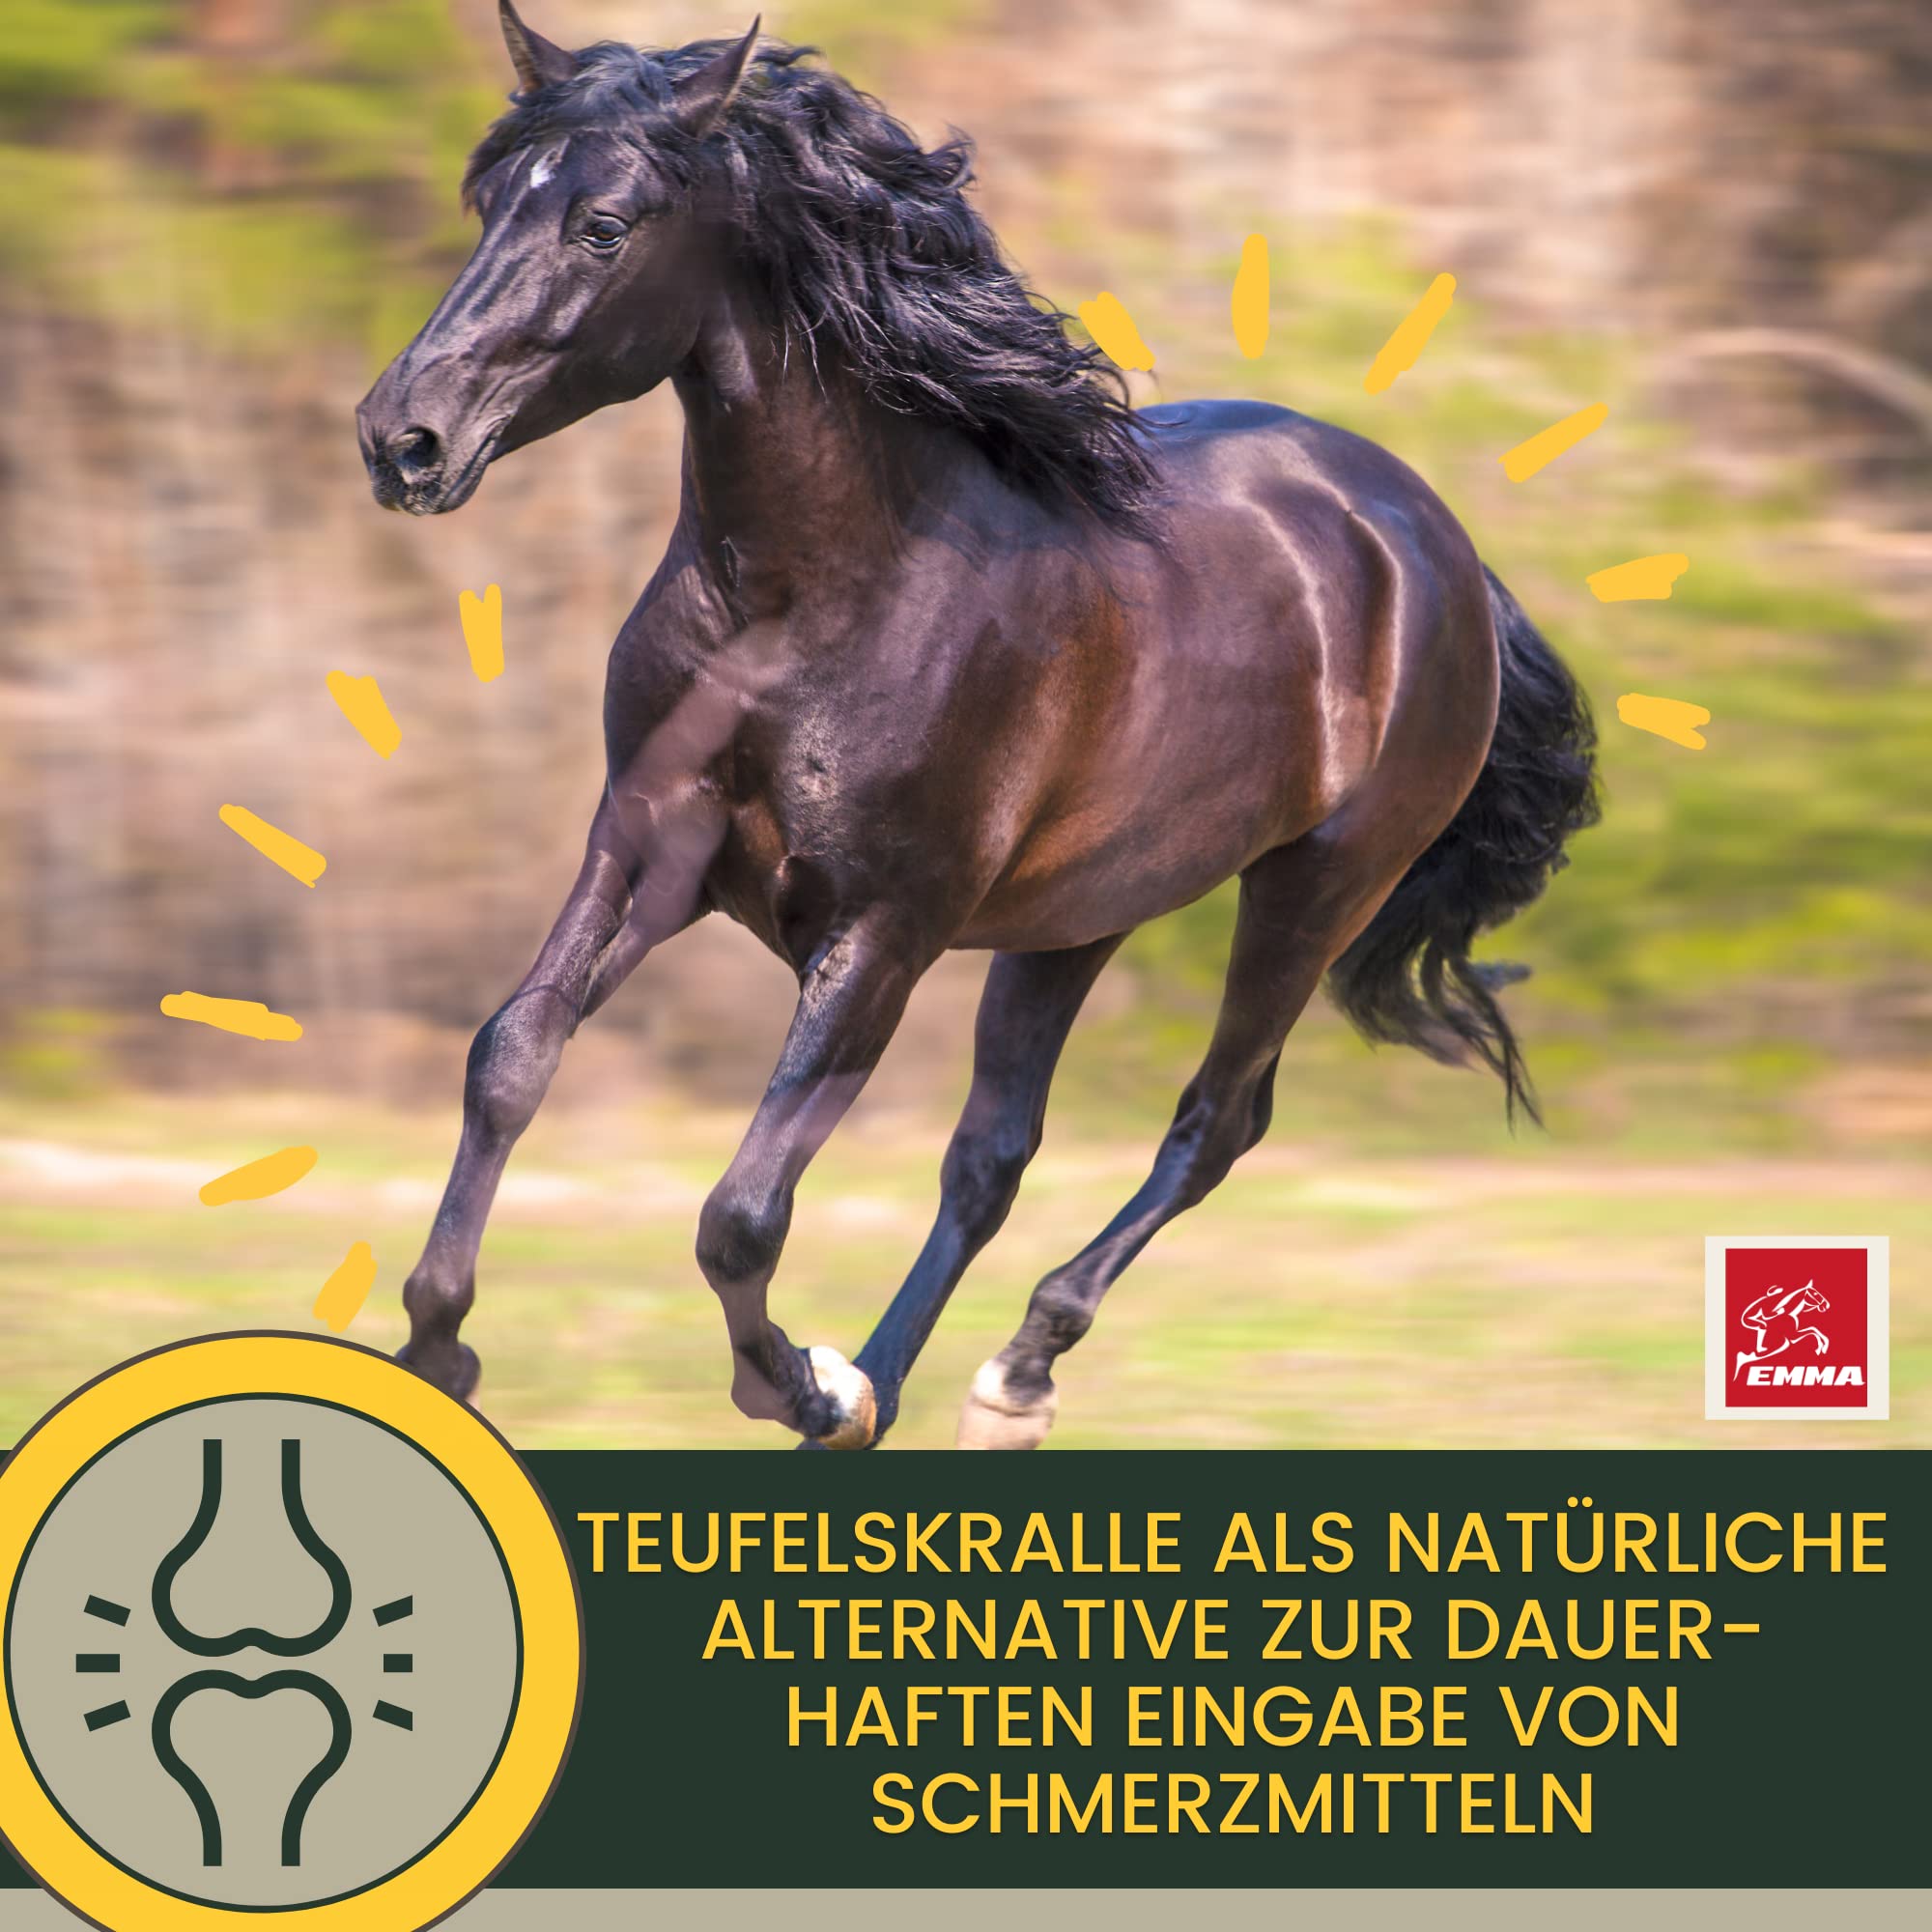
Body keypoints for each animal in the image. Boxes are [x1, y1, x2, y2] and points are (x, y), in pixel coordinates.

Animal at [354, 6, 1600, 1450]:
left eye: (604, 224)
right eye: (491, 199)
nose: (402, 439)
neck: (812, 595)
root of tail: (1429, 536)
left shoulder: (883, 926)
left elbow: (741, 1211)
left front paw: (794, 1380)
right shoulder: (648, 844)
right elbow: (511, 1055)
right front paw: (438, 1347)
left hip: (1318, 887)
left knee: (1215, 1120)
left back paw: (1002, 1377)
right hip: (1079, 913)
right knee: (994, 1152)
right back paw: (905, 1388)